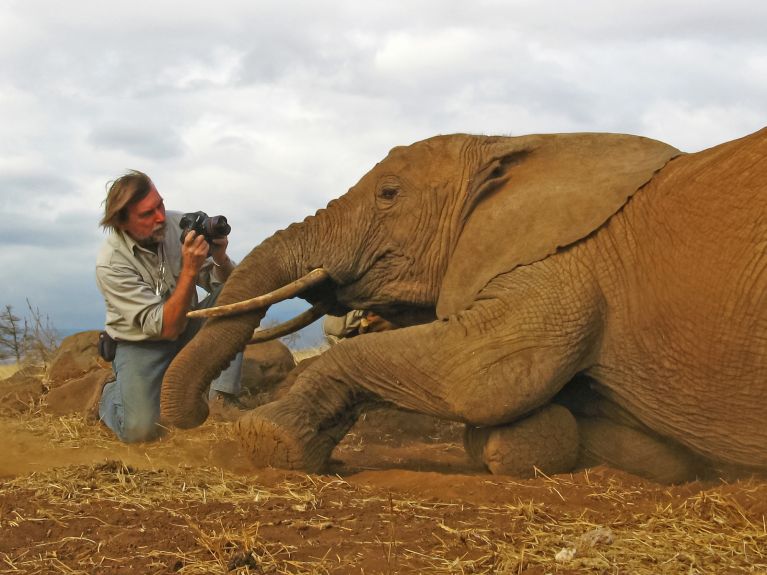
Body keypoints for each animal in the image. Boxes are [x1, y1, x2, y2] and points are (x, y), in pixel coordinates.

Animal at [159, 128, 767, 484]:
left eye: (389, 194)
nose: (199, 416)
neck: (516, 142)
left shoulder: (567, 266)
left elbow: (481, 376)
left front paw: (269, 439)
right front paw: (523, 441)